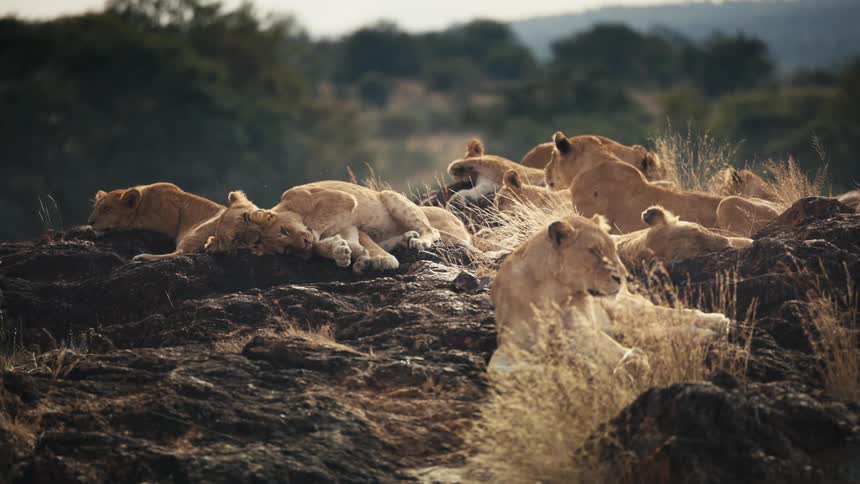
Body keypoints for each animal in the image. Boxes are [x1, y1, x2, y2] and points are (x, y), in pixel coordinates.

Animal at [87, 182, 225, 261]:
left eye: (107, 208)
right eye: (95, 207)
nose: (90, 222)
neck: (143, 204)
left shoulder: (170, 220)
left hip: (197, 231)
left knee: (181, 253)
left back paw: (141, 257)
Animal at [205, 181, 442, 273]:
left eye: (284, 230)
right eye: (286, 250)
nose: (304, 243)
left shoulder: (340, 199)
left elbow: (319, 231)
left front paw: (379, 260)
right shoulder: (350, 227)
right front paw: (344, 253)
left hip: (390, 196)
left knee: (433, 231)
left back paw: (419, 240)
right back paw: (405, 238)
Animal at [489, 214, 730, 373]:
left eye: (614, 250)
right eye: (594, 251)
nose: (623, 276)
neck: (552, 291)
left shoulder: (581, 329)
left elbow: (604, 348)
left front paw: (632, 361)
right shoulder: (510, 344)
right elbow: (497, 369)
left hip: (626, 309)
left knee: (674, 315)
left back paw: (718, 322)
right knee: (660, 329)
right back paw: (706, 334)